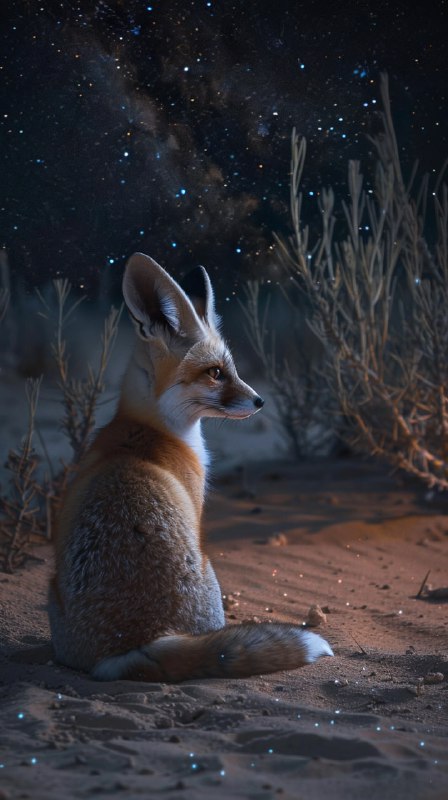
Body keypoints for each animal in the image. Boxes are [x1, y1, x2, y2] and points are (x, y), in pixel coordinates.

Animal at [49, 252, 333, 682]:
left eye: (232, 369)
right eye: (215, 373)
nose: (260, 401)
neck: (151, 426)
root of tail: (138, 642)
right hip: (208, 565)